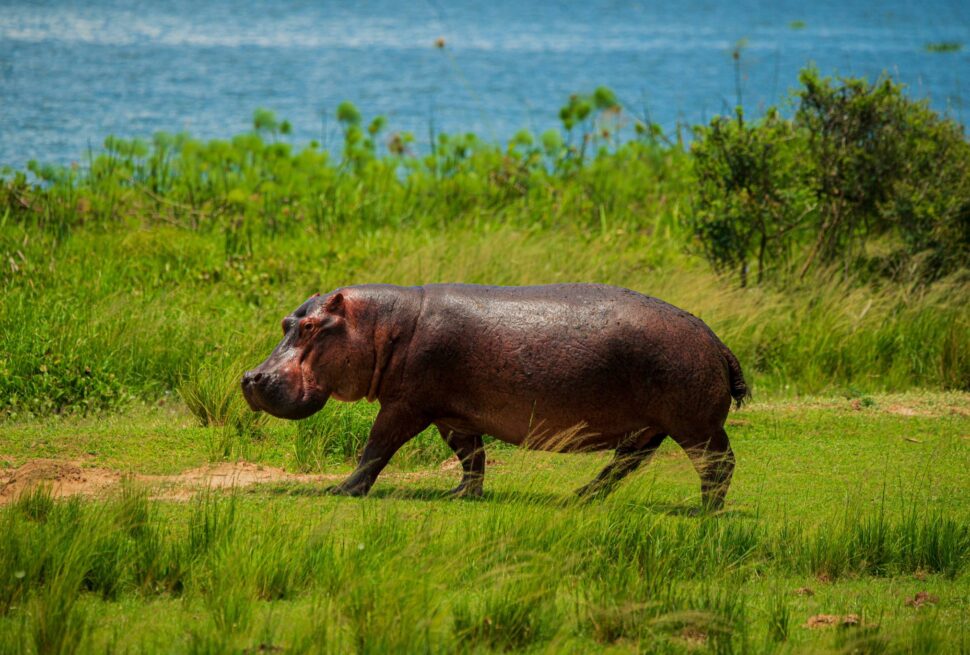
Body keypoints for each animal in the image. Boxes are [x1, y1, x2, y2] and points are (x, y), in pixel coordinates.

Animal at [242, 284, 748, 509]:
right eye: (287, 323)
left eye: (311, 327)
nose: (251, 376)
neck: (380, 326)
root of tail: (717, 341)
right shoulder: (451, 415)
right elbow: (471, 456)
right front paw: (459, 495)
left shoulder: (405, 406)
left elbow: (376, 448)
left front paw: (341, 490)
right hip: (650, 428)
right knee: (625, 463)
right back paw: (577, 498)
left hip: (695, 426)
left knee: (718, 463)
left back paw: (705, 510)